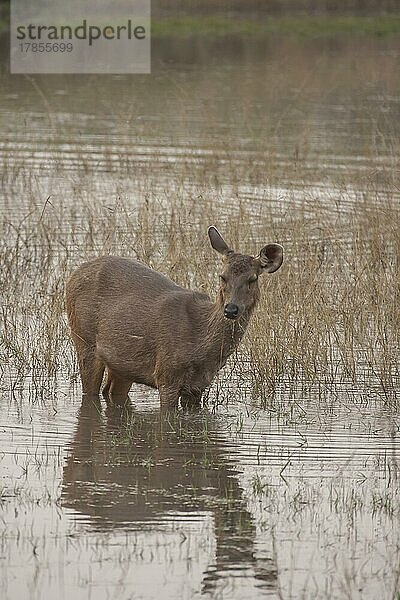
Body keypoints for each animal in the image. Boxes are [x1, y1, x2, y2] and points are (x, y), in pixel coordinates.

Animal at [65, 227, 282, 410]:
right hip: (84, 339)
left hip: (122, 363)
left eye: (252, 279)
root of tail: (73, 274)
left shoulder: (198, 386)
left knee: (110, 390)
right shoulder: (166, 374)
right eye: (222, 276)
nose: (231, 309)